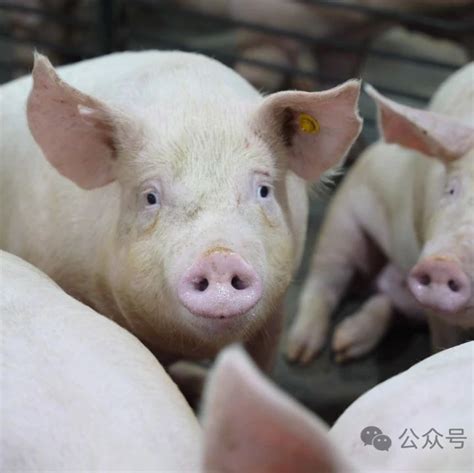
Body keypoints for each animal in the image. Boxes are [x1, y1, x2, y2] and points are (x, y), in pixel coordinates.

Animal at [287, 61, 474, 364]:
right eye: (451, 189)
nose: (442, 265)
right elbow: (441, 344)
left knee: (389, 300)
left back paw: (345, 344)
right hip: (341, 223)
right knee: (325, 282)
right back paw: (303, 353)